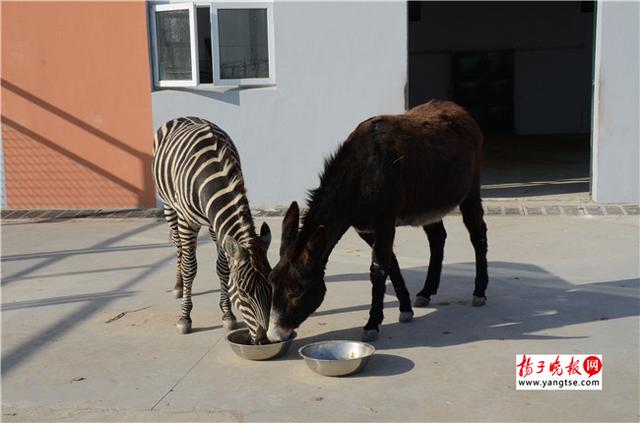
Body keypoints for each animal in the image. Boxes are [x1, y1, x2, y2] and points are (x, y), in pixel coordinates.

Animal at [153, 116, 272, 344]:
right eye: (243, 293)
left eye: (272, 288)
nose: (264, 341)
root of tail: (185, 116)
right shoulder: (187, 221)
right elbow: (190, 268)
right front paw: (185, 318)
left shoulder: (218, 226)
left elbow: (223, 268)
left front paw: (227, 314)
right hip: (169, 206)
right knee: (178, 246)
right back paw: (178, 285)